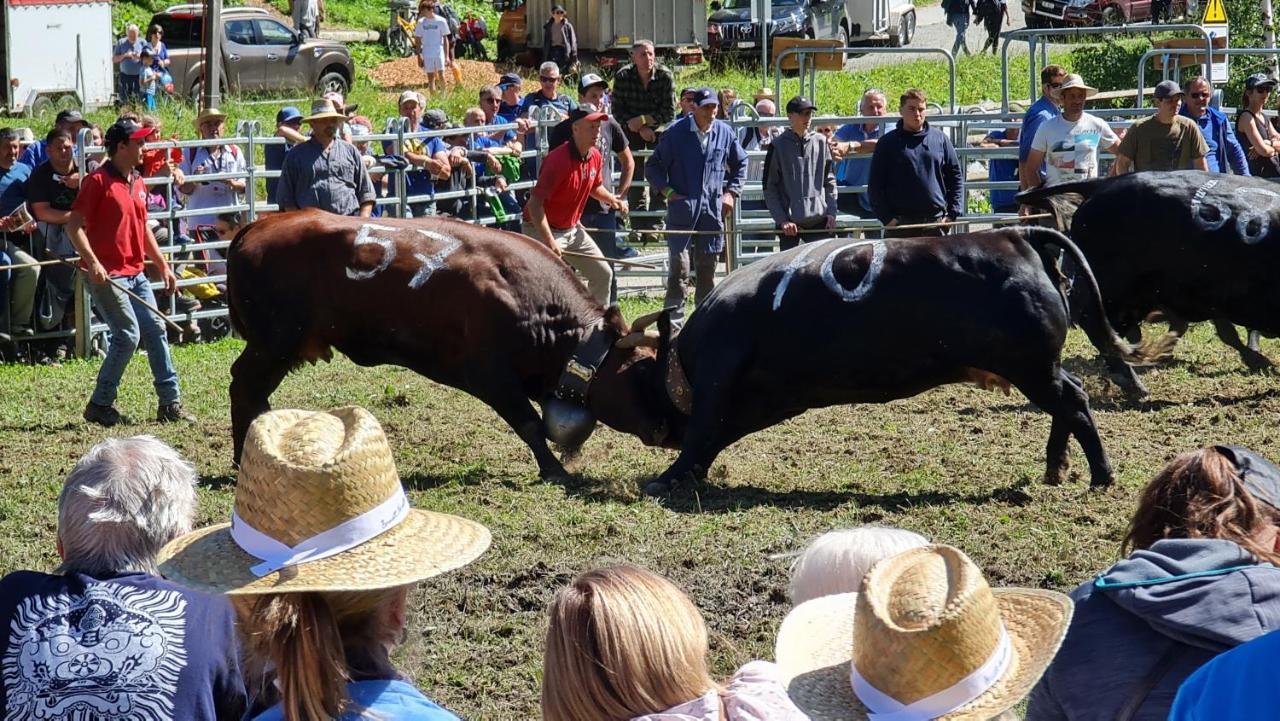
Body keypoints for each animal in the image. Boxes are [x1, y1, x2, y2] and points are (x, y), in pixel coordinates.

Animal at [227, 208, 670, 478]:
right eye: (642, 372)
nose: (673, 429)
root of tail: (255, 227)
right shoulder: (490, 375)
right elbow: (530, 423)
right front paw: (555, 470)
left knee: (253, 392)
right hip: (274, 342)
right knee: (244, 386)